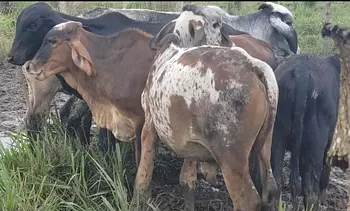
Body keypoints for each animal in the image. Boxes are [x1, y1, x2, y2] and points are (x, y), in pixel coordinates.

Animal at [137, 31, 278, 211]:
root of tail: (252, 65)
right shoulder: (191, 143)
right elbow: (187, 180)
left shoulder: (149, 125)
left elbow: (143, 176)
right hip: (265, 145)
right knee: (271, 191)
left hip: (230, 156)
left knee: (248, 201)